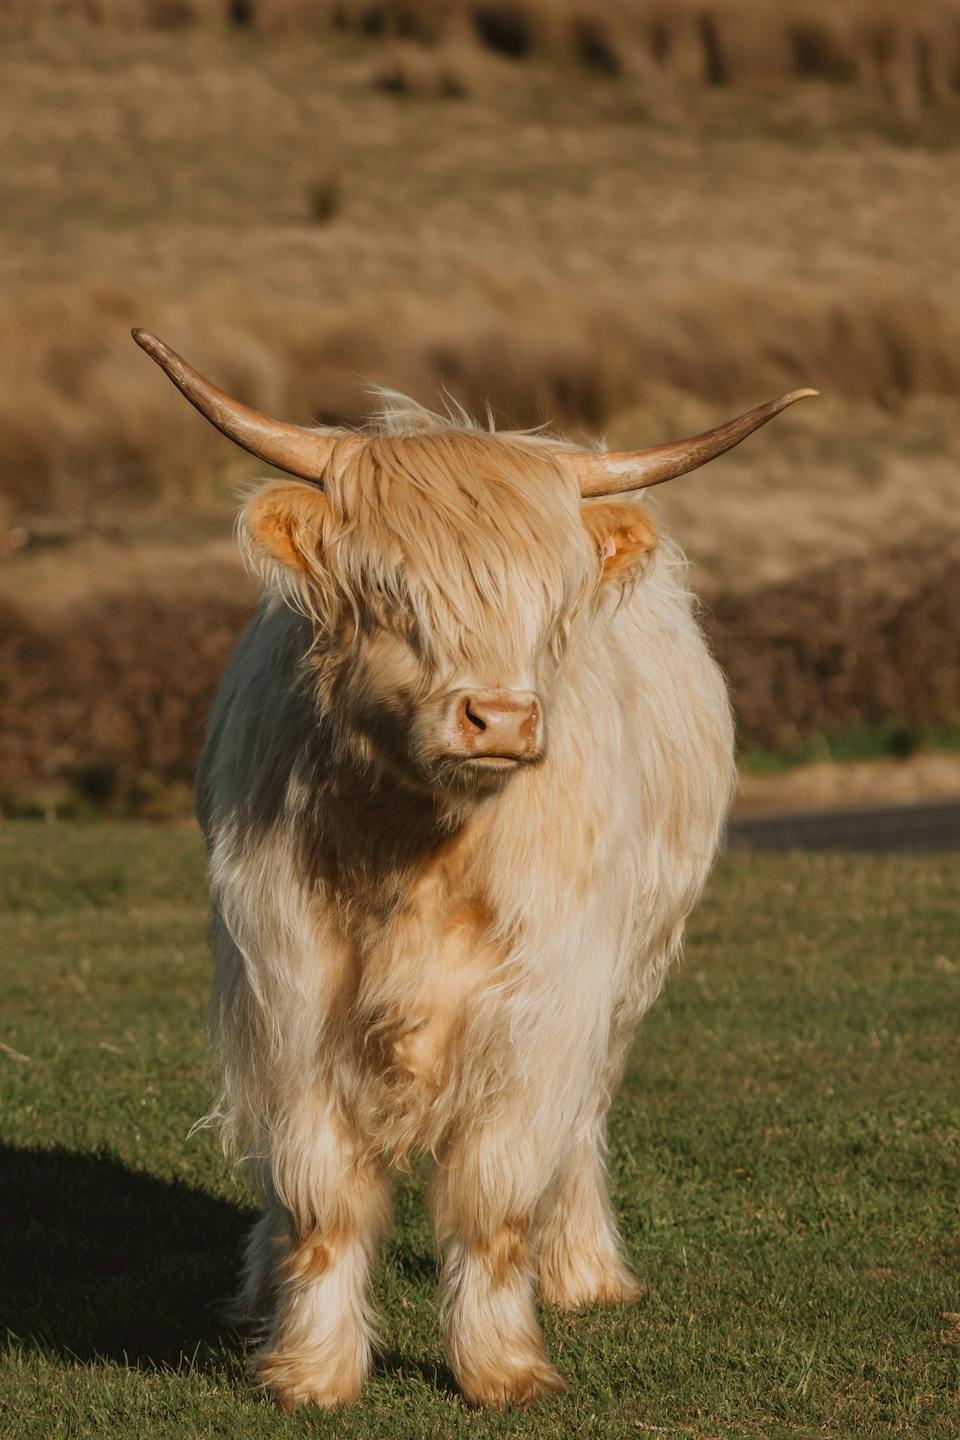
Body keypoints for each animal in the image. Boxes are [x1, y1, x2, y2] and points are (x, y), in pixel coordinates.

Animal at [134, 327, 814, 1411]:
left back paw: (582, 1270)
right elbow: (319, 1195)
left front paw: (501, 1367)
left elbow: (497, 1192)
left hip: (628, 979)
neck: (418, 848)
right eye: (388, 591)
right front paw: (309, 1369)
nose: (501, 719)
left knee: (583, 1124)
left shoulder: (542, 1005)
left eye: (553, 602)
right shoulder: (288, 990)